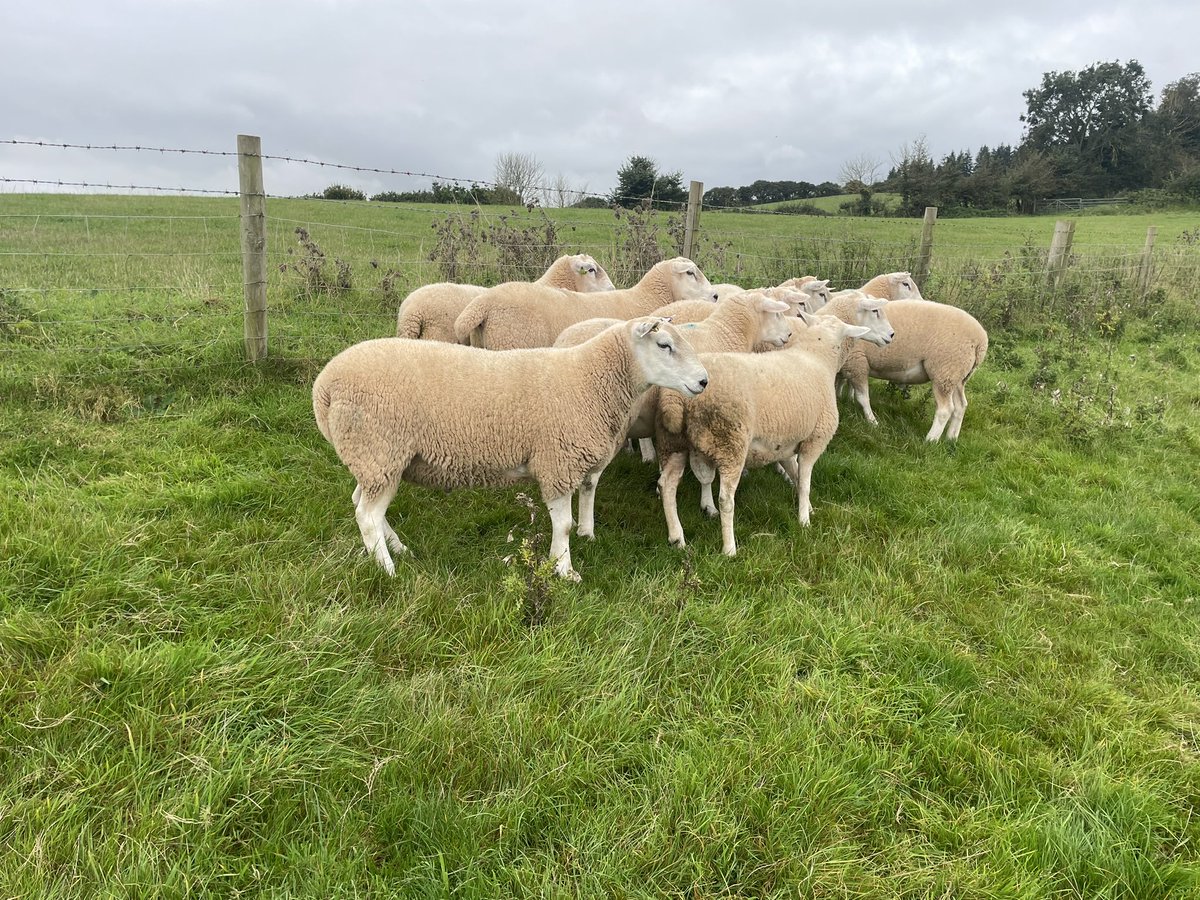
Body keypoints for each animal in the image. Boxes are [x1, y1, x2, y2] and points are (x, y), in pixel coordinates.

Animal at [312, 317, 709, 581]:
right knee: (367, 516)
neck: (592, 379)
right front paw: (565, 570)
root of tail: (324, 386)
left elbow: (576, 511)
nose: (704, 381)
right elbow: (564, 525)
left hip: (373, 457)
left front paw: (571, 552)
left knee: (363, 505)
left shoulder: (569, 462)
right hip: (379, 448)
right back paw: (388, 570)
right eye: (663, 345)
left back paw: (397, 548)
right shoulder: (557, 462)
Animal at [655, 312, 874, 556]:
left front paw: (807, 507)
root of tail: (676, 398)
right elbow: (805, 480)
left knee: (668, 484)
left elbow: (795, 475)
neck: (816, 357)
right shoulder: (815, 440)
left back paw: (677, 537)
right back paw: (729, 548)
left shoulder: (786, 445)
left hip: (674, 442)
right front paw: (804, 520)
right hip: (731, 442)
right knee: (725, 499)